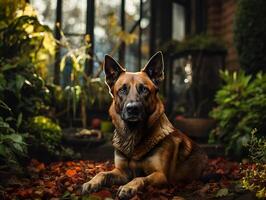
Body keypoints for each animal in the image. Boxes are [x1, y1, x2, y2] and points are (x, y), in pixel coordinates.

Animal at [81, 51, 208, 198]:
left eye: (144, 90)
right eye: (122, 90)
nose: (132, 109)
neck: (133, 137)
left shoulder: (161, 175)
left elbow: (140, 177)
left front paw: (128, 187)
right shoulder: (121, 172)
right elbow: (102, 173)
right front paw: (92, 182)